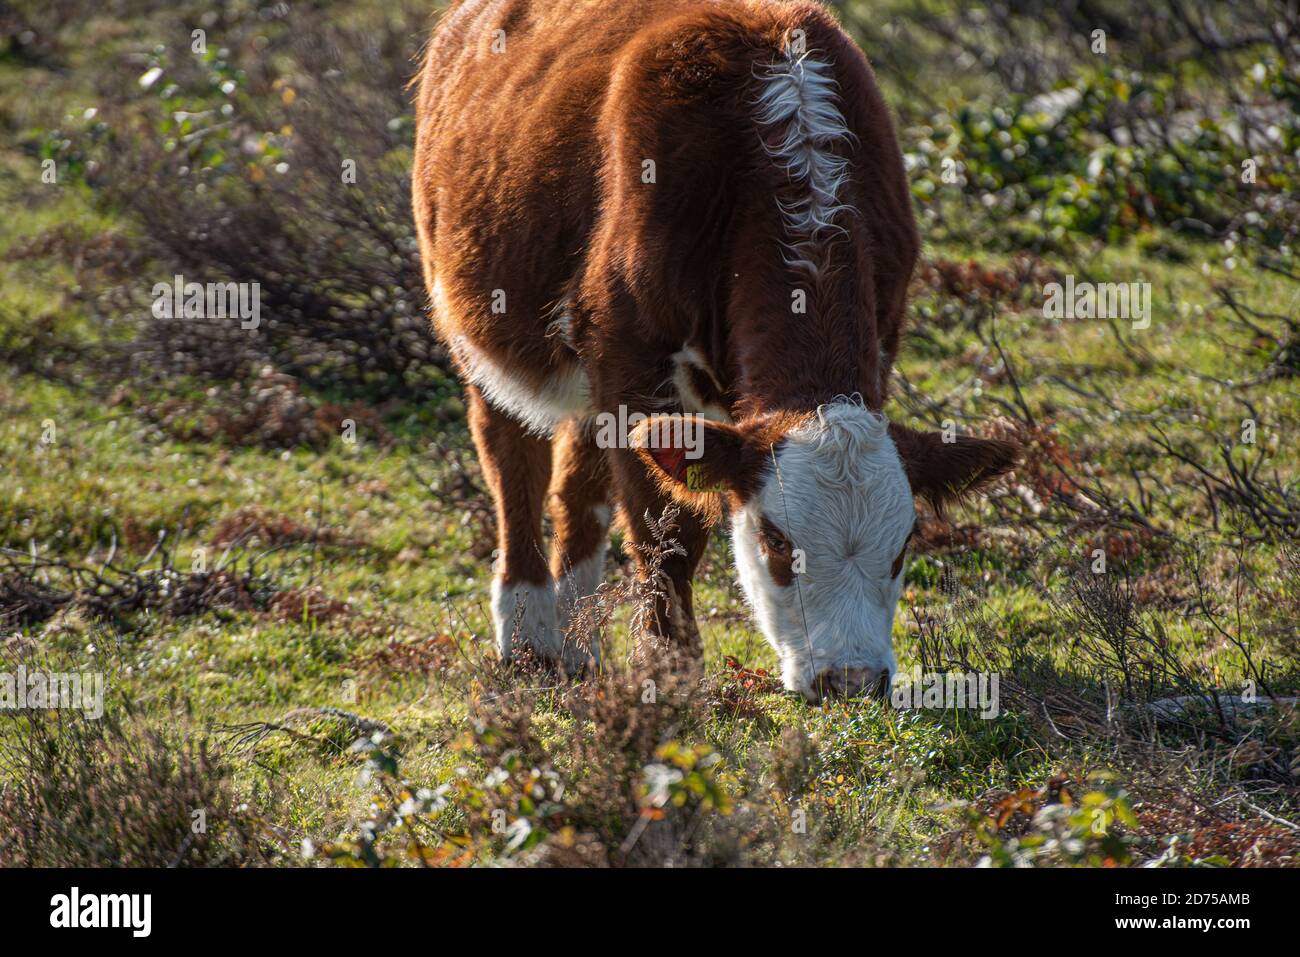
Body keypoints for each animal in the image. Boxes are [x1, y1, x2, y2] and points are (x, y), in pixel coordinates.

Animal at [412, 0, 1018, 702]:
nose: (852, 679)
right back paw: (530, 636)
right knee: (513, 461)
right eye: (777, 542)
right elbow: (667, 527)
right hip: (473, 317)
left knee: (576, 490)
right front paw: (669, 669)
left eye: (902, 546)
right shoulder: (631, 362)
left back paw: (577, 643)